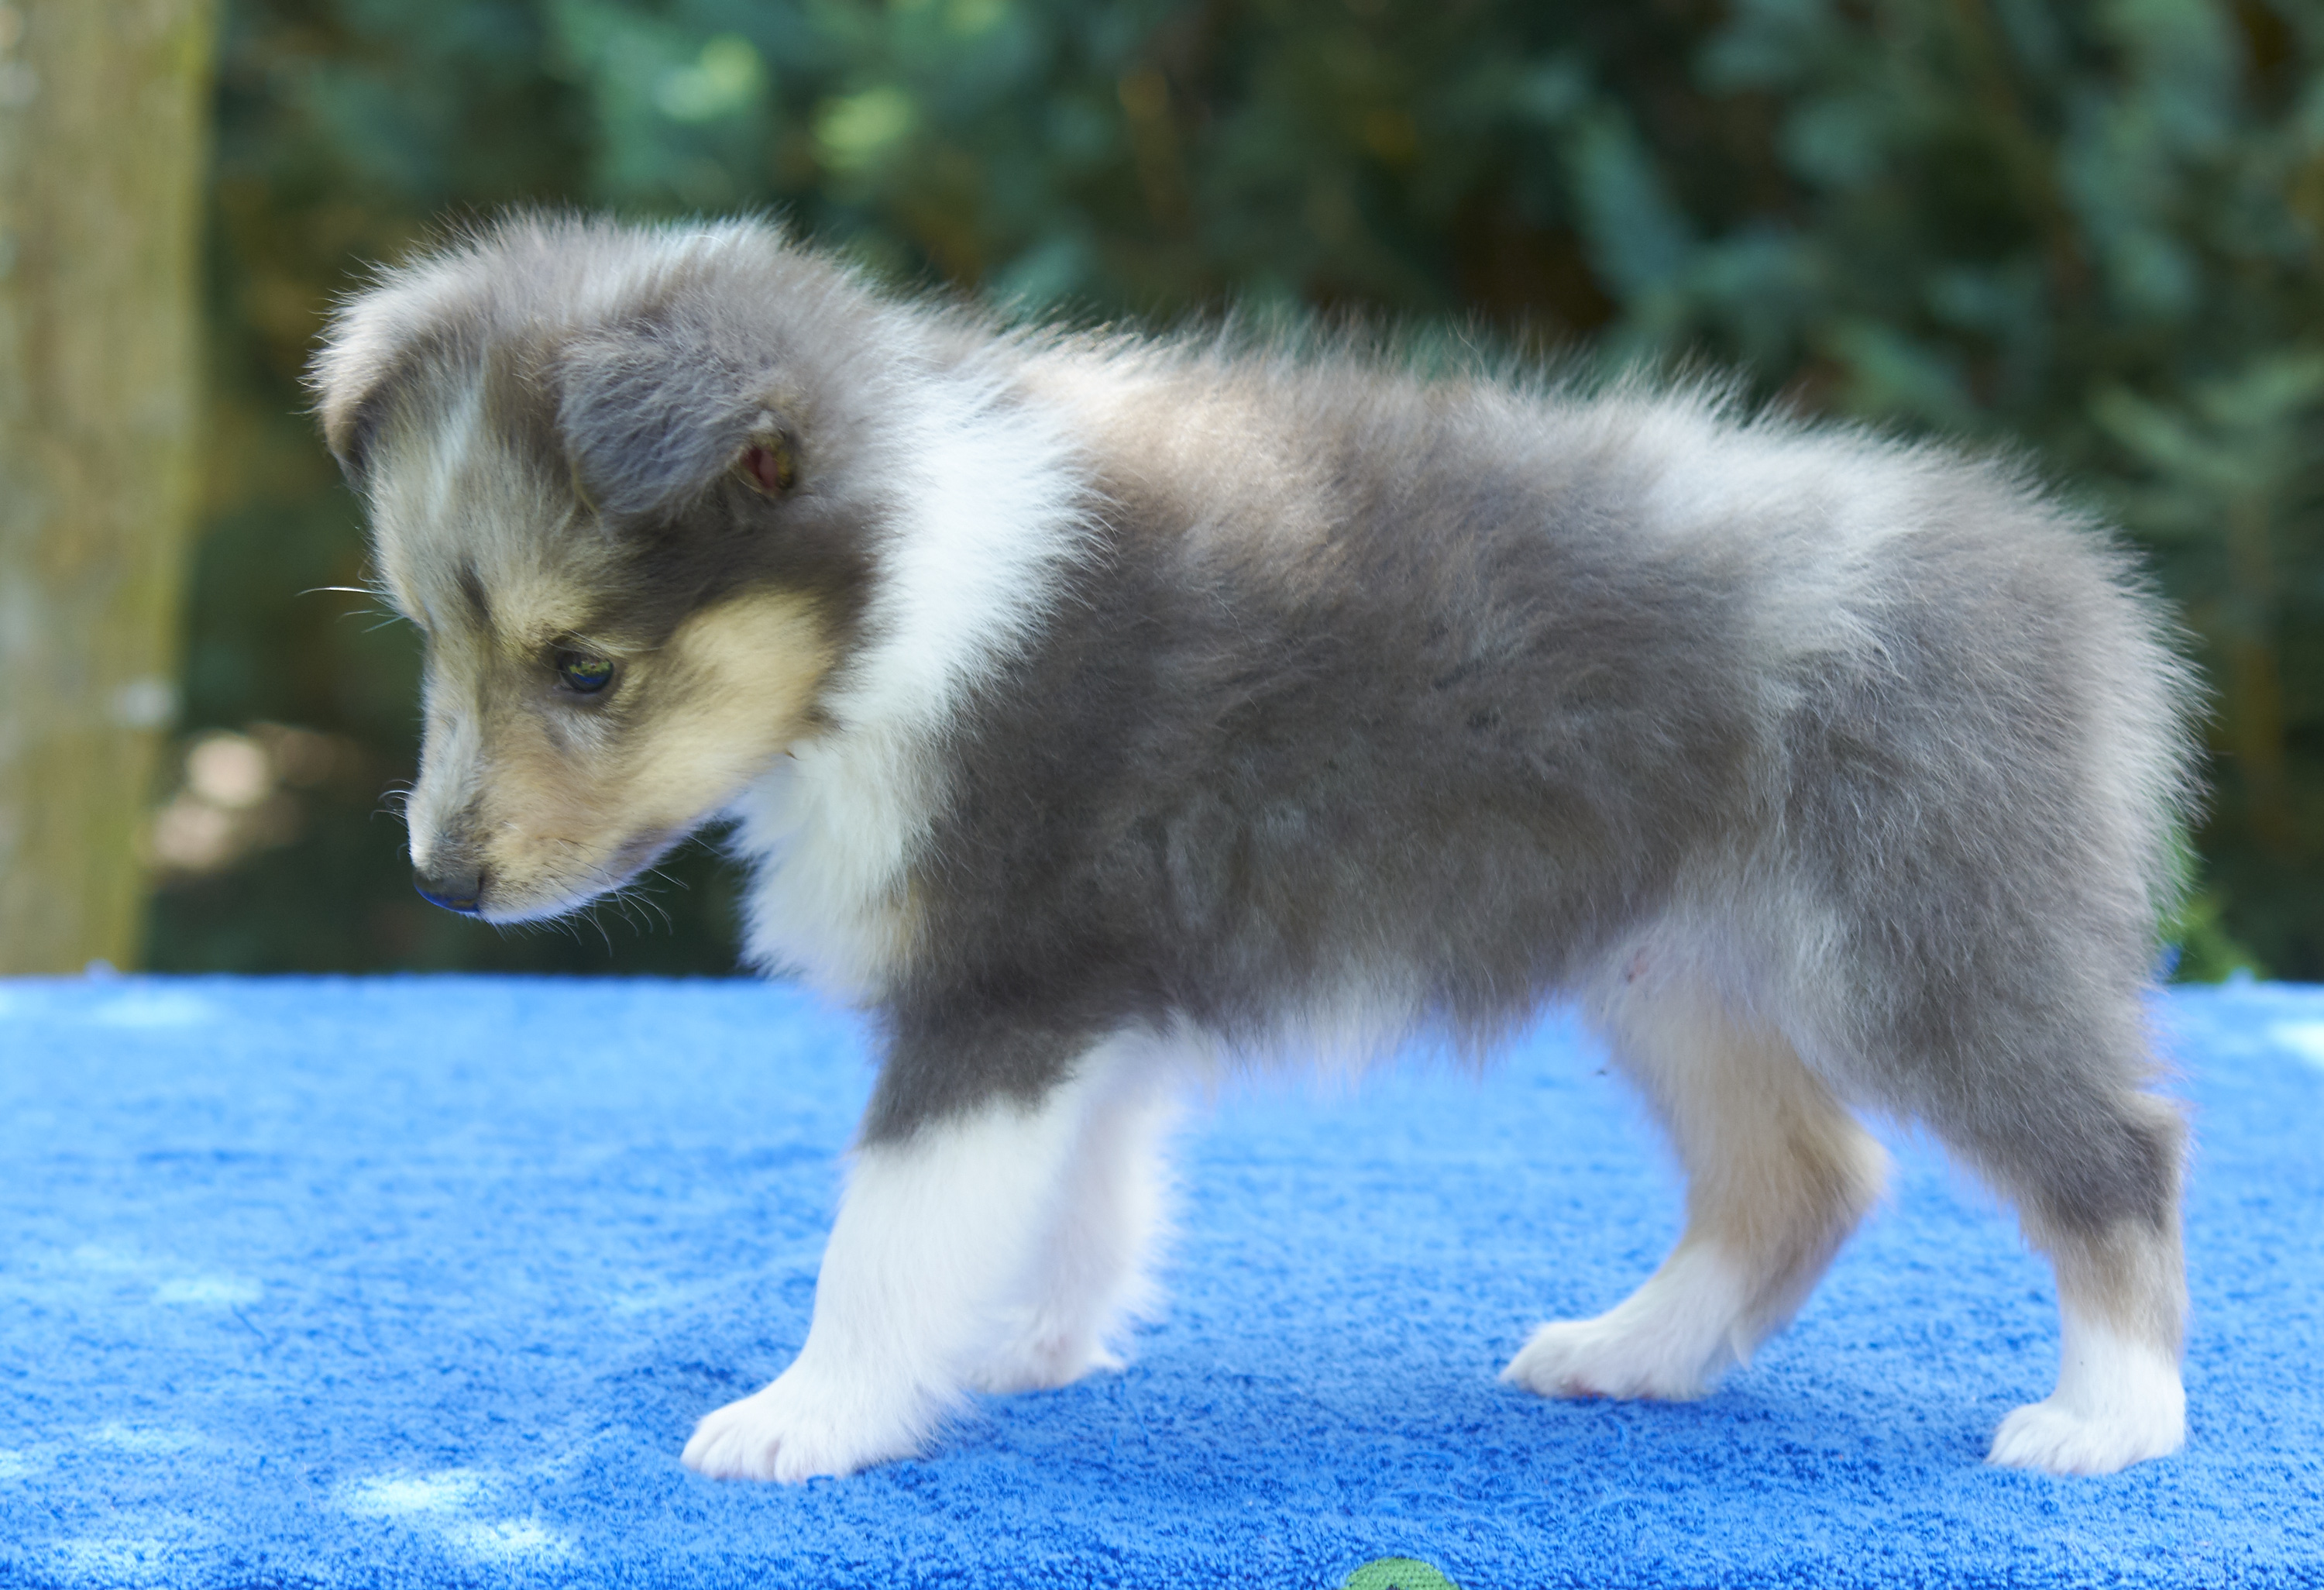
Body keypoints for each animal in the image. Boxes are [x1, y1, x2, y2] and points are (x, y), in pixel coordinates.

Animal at [311, 213, 2198, 1482]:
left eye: (583, 667)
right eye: (426, 637)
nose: (440, 884)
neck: (908, 591)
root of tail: (2081, 595)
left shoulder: (1004, 985)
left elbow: (889, 1229)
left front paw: (810, 1416)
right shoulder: (1087, 998)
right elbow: (1078, 1196)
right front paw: (1028, 1345)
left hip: (1911, 936)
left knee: (2116, 1151)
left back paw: (2108, 1420)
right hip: (1674, 960)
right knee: (1806, 1173)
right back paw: (1631, 1352)